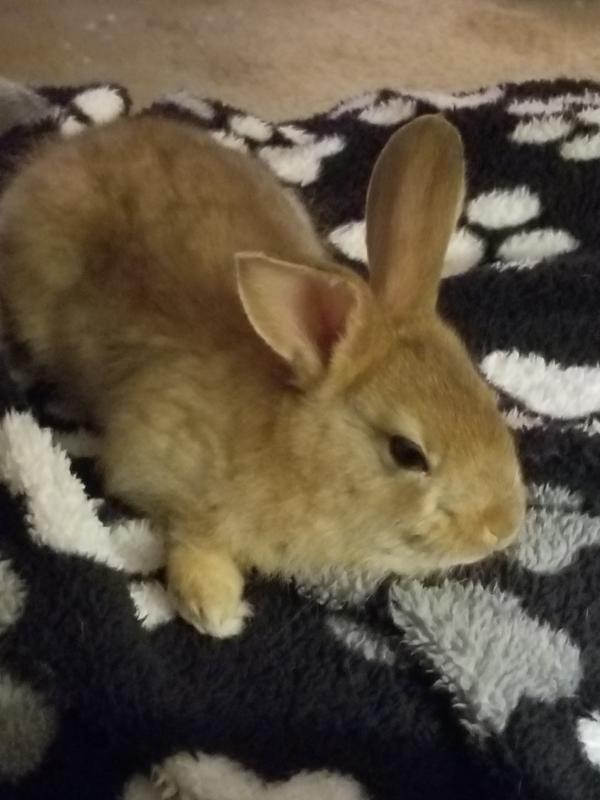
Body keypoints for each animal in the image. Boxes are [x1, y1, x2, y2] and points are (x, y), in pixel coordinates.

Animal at [0, 113, 526, 638]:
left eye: (488, 399)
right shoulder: (153, 458)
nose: (502, 527)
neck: (295, 449)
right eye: (407, 452)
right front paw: (213, 607)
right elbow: (190, 531)